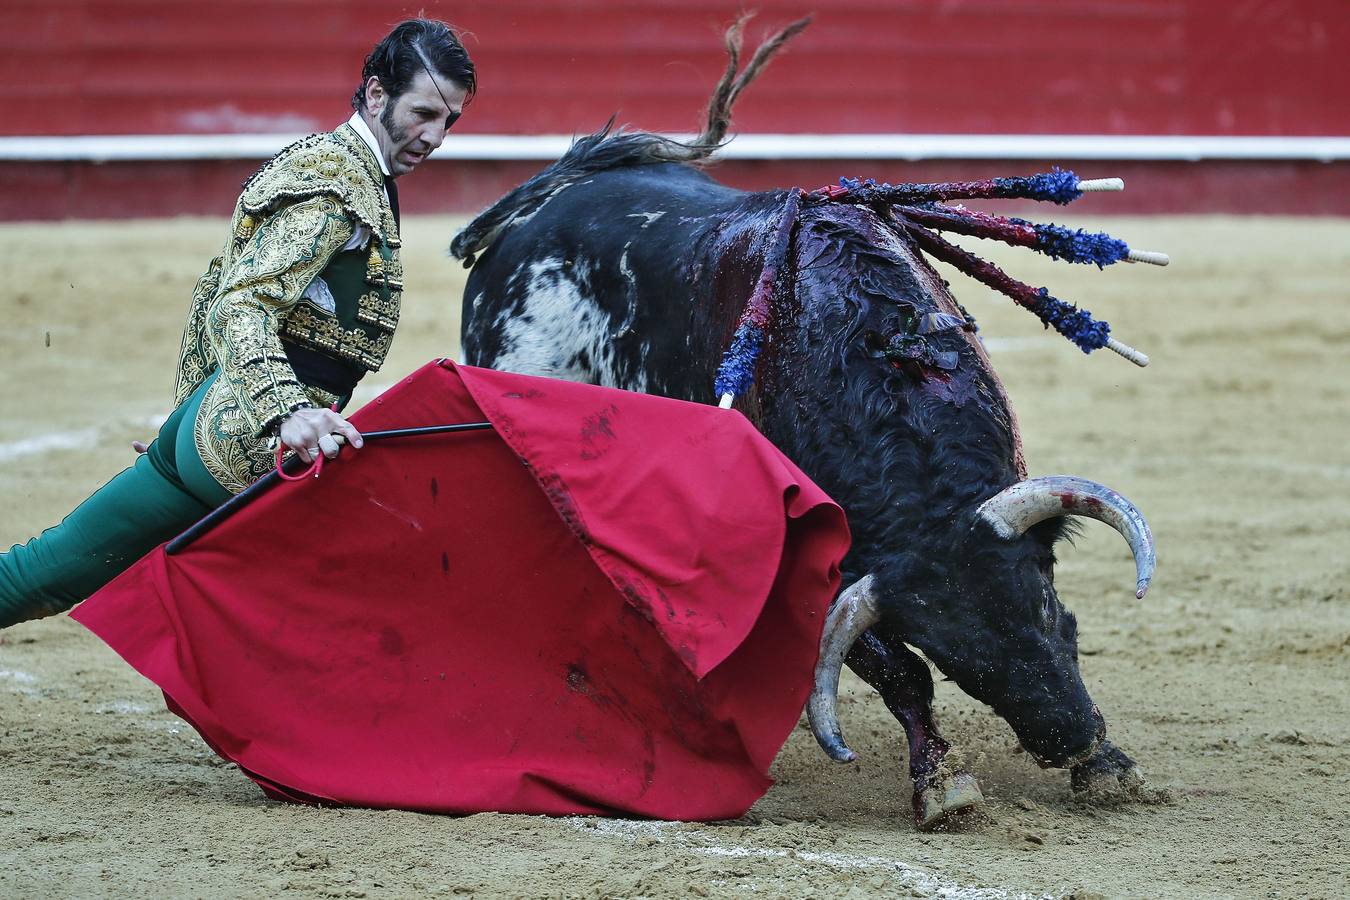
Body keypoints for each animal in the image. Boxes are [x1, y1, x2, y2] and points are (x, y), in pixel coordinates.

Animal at [453, 17, 1161, 831]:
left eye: (1042, 601)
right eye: (959, 661)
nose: (1065, 735)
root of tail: (532, 215)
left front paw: (1106, 767)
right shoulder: (832, 576)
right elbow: (898, 674)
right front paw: (942, 783)